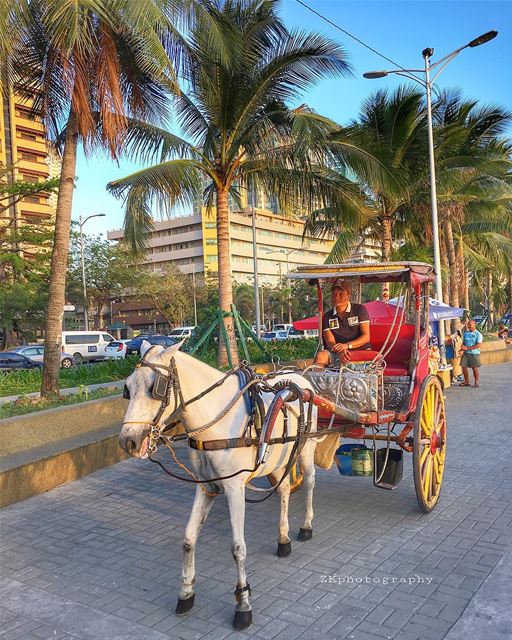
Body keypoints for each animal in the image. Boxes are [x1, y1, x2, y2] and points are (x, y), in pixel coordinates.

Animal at [119, 342, 320, 628]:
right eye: (127, 387)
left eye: (154, 388)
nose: (129, 441)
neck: (215, 423)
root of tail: (300, 378)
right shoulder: (205, 486)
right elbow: (189, 539)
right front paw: (186, 593)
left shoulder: (234, 489)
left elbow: (238, 548)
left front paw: (243, 604)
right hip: (279, 458)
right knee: (282, 489)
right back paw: (283, 539)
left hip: (306, 446)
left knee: (311, 481)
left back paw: (306, 526)